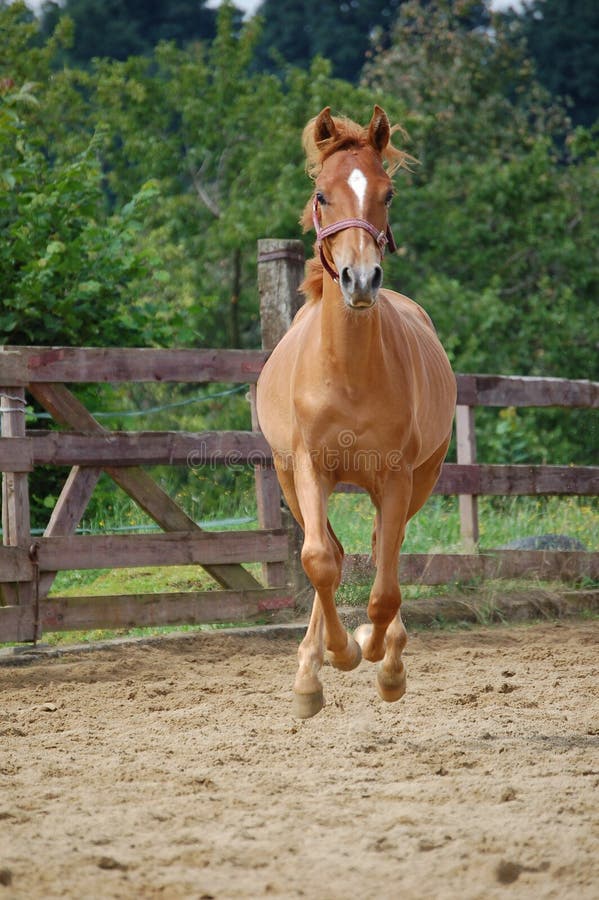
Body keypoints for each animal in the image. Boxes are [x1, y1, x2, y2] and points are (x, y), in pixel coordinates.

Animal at [256, 106, 456, 718]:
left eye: (387, 193)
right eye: (322, 194)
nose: (361, 280)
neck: (345, 373)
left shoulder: (395, 476)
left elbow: (385, 585)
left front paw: (380, 659)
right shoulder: (307, 468)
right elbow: (320, 560)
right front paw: (335, 658)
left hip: (421, 477)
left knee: (382, 552)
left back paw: (385, 651)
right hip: (289, 480)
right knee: (337, 552)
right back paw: (311, 669)